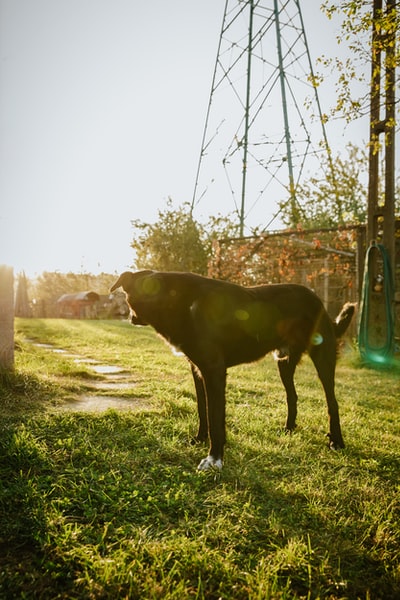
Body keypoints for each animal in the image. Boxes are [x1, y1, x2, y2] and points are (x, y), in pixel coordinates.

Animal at [109, 270, 354, 472]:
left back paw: (336, 441)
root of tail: (317, 299)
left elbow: (215, 416)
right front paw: (200, 439)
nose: (129, 317)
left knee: (332, 402)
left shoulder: (214, 371)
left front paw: (214, 458)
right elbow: (203, 409)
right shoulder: (197, 369)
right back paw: (288, 428)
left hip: (323, 358)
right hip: (284, 363)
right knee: (292, 395)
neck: (179, 302)